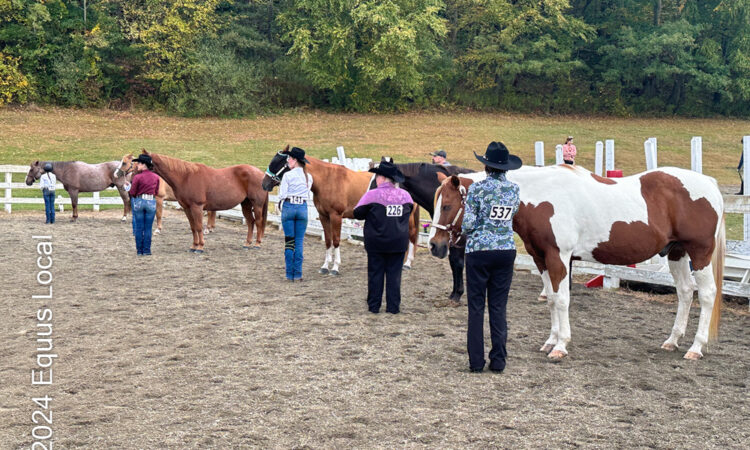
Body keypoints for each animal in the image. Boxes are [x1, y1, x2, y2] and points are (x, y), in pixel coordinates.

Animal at [432, 163, 724, 360]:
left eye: (447, 205)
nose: (435, 245)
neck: (542, 196)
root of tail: (710, 183)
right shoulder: (540, 258)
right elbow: (551, 298)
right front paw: (550, 341)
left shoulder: (558, 257)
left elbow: (562, 299)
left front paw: (561, 346)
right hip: (677, 253)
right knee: (685, 292)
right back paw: (672, 341)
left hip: (700, 253)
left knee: (707, 294)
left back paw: (696, 348)